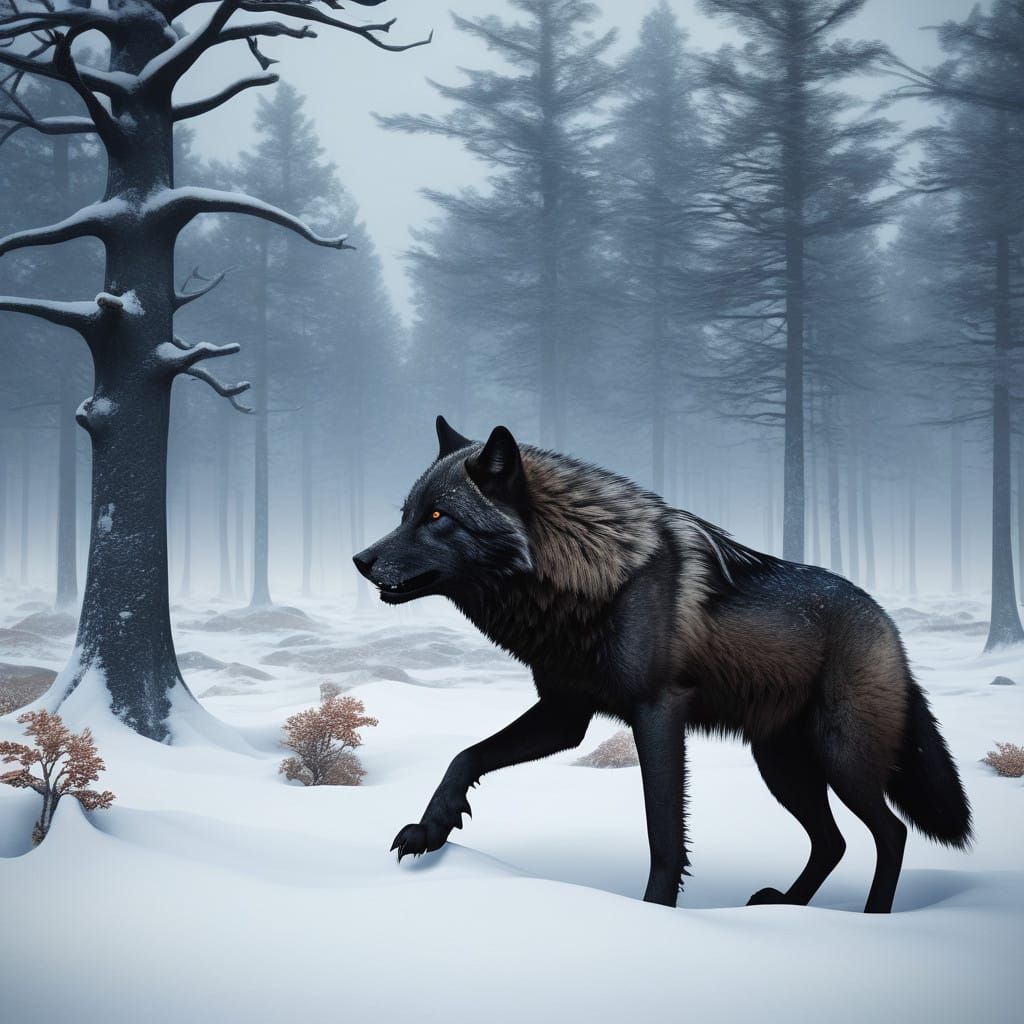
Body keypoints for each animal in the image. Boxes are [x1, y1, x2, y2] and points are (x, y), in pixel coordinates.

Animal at [354, 417, 972, 913]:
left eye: (438, 516)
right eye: (406, 515)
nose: (359, 560)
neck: (587, 578)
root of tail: (889, 625)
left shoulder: (657, 713)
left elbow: (664, 833)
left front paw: (656, 914)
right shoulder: (564, 714)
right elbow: (464, 756)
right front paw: (431, 828)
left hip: (841, 759)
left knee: (890, 833)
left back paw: (873, 917)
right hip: (781, 766)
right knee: (833, 841)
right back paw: (787, 905)